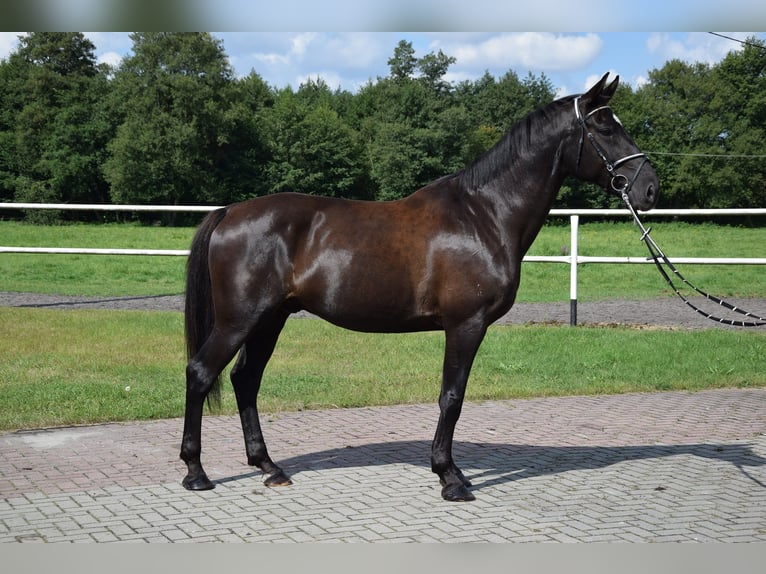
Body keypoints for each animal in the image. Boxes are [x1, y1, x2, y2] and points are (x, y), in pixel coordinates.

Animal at [180, 73, 659, 502]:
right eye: (605, 127)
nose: (650, 187)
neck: (484, 214)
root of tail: (230, 212)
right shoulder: (466, 325)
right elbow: (452, 397)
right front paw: (449, 477)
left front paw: (455, 472)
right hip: (240, 320)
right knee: (201, 373)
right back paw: (196, 472)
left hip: (270, 319)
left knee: (245, 380)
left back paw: (269, 467)